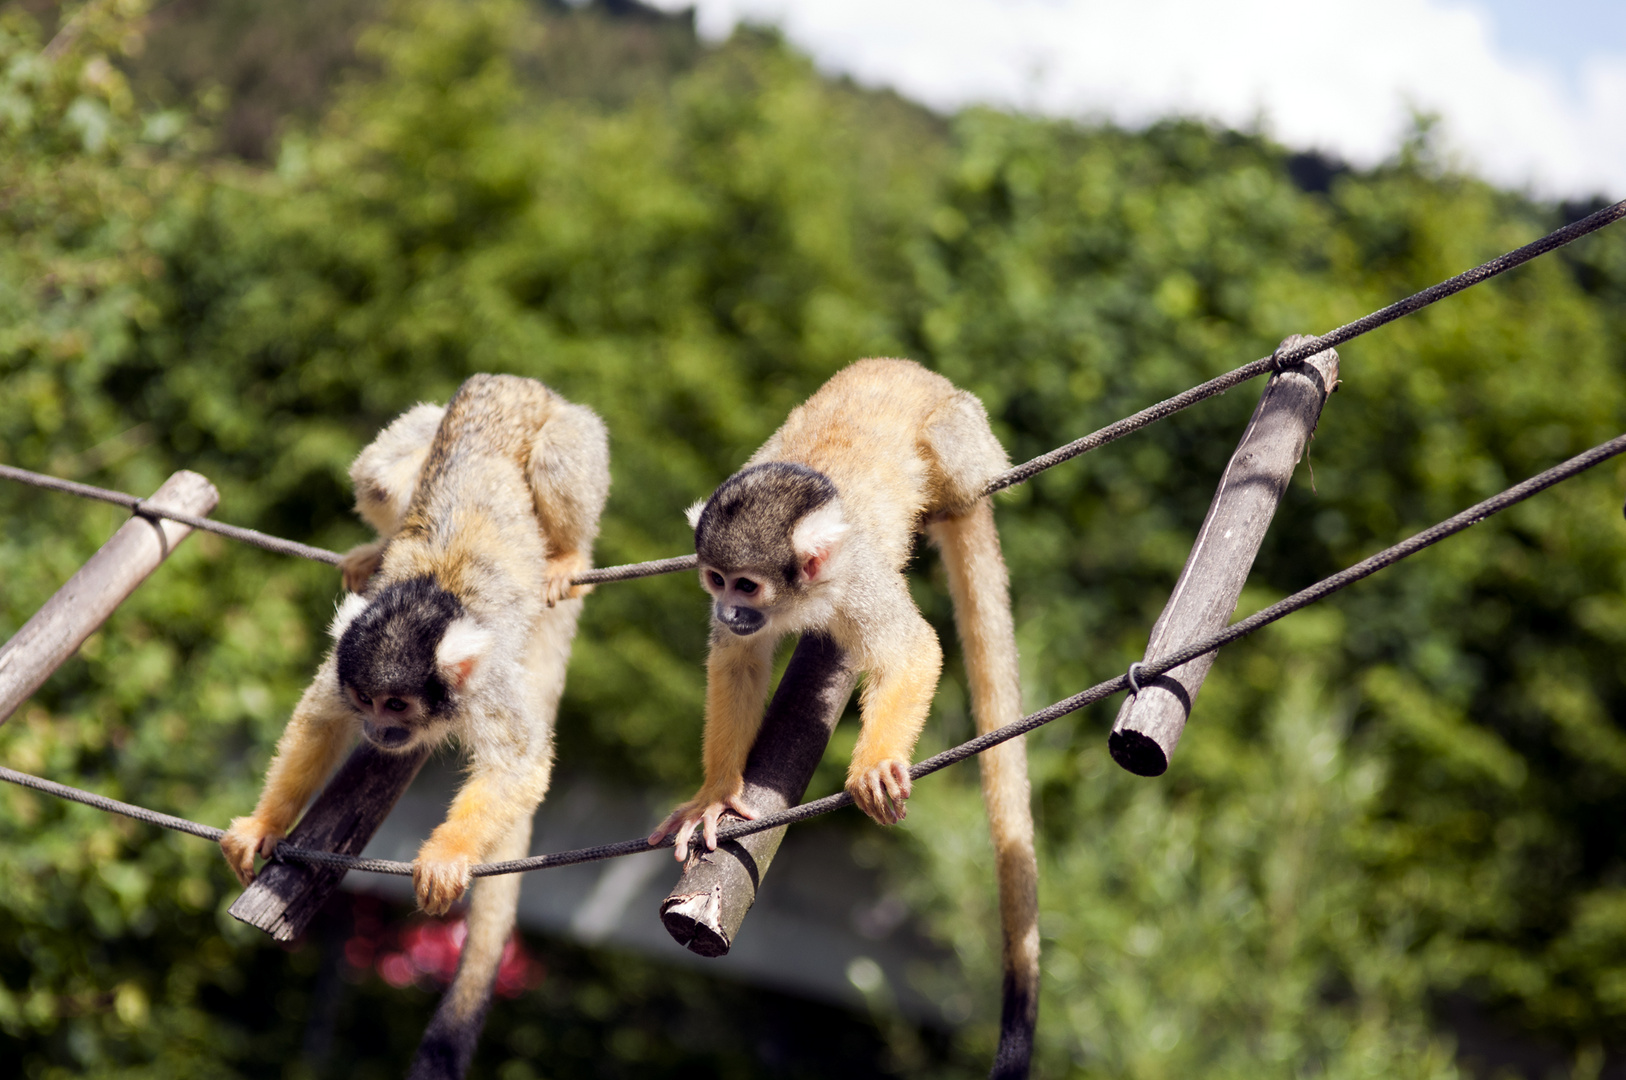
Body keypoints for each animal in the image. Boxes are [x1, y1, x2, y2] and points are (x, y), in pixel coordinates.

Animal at [222, 374, 611, 1080]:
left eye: (398, 706)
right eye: (368, 702)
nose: (380, 733)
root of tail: (516, 379)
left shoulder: (485, 679)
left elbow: (518, 761)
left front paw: (447, 854)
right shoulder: (345, 666)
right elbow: (320, 720)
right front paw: (265, 822)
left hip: (570, 424)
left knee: (557, 458)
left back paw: (569, 553)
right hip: (428, 426)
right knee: (376, 473)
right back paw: (377, 547)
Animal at [650, 357, 1040, 1073]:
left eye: (746, 585)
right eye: (715, 579)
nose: (726, 608)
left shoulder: (854, 574)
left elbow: (911, 648)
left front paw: (874, 766)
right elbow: (737, 662)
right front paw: (715, 795)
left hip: (966, 433)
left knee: (952, 458)